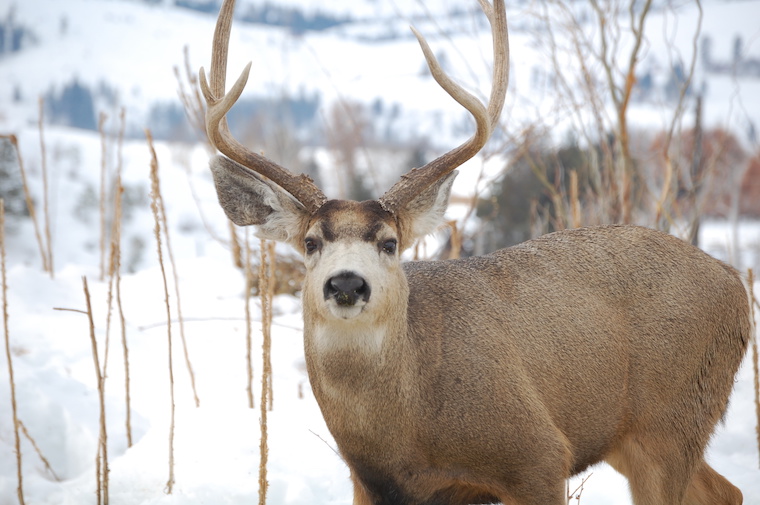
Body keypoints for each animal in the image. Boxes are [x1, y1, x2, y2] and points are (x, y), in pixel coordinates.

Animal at [199, 0, 751, 503]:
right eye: (311, 243)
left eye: (390, 242)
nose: (348, 283)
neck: (409, 428)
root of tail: (737, 286)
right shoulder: (371, 482)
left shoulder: (540, 456)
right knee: (727, 491)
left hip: (673, 415)